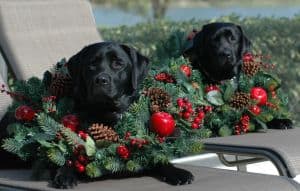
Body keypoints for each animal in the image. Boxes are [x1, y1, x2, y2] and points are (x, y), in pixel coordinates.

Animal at [52, 41, 193, 188]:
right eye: (92, 64)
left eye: (118, 63)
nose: (101, 80)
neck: (106, 111)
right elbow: (66, 156)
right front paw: (64, 174)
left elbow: (157, 157)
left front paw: (176, 172)